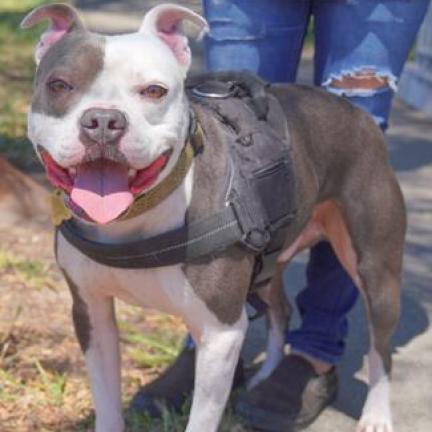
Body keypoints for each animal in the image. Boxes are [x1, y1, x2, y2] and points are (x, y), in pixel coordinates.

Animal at [22, 3, 406, 432]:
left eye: (154, 91)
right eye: (59, 85)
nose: (103, 120)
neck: (134, 219)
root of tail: (355, 111)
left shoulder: (221, 335)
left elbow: (201, 419)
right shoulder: (91, 313)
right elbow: (107, 404)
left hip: (376, 271)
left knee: (380, 347)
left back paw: (376, 415)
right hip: (269, 259)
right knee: (280, 310)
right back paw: (264, 377)